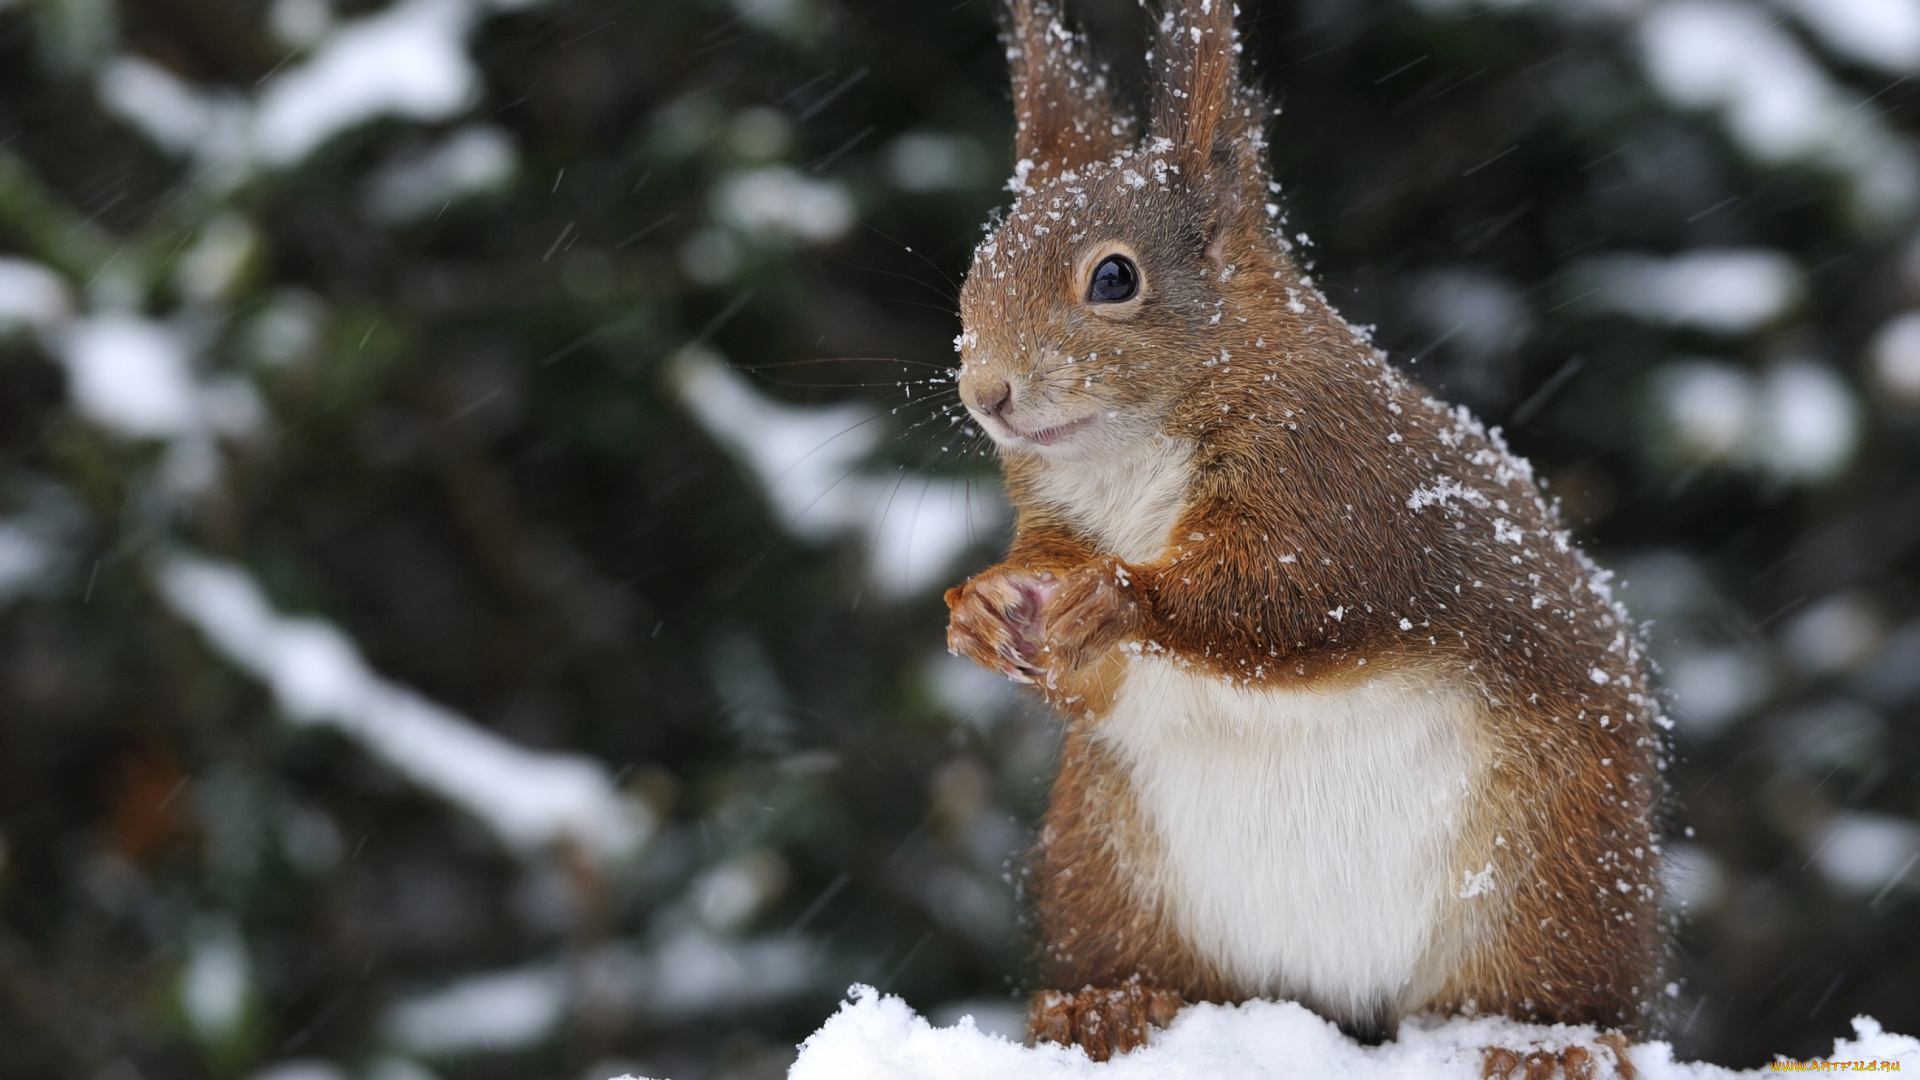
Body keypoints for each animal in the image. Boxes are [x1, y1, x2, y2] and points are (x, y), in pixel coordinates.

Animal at [944, 0, 1666, 1068]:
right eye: (978, 268)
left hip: (1558, 876)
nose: (985, 390)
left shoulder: (1339, 488)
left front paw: (1122, 597)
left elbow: (1291, 604)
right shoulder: (1059, 527)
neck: (1128, 463)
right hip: (1107, 871)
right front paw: (980, 613)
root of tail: (1337, 1000)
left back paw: (1543, 1045)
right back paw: (1108, 1005)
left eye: (1113, 278)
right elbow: (1087, 680)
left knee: (1548, 992)